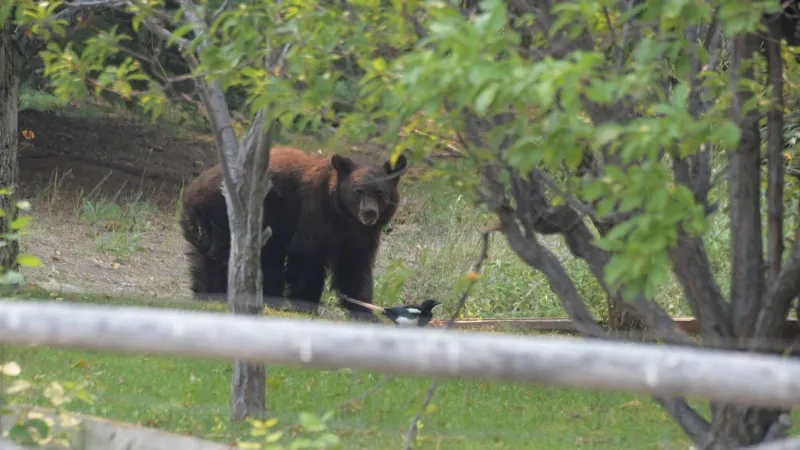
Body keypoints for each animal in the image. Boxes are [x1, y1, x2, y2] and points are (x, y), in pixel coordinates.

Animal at [179, 145, 408, 319]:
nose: (369, 213)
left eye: (380, 192)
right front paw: (307, 302)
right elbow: (307, 254)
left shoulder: (361, 236)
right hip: (227, 217)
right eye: (357, 191)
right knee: (224, 257)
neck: (343, 218)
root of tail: (193, 190)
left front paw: (363, 310)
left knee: (208, 259)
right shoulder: (313, 212)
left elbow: (355, 266)